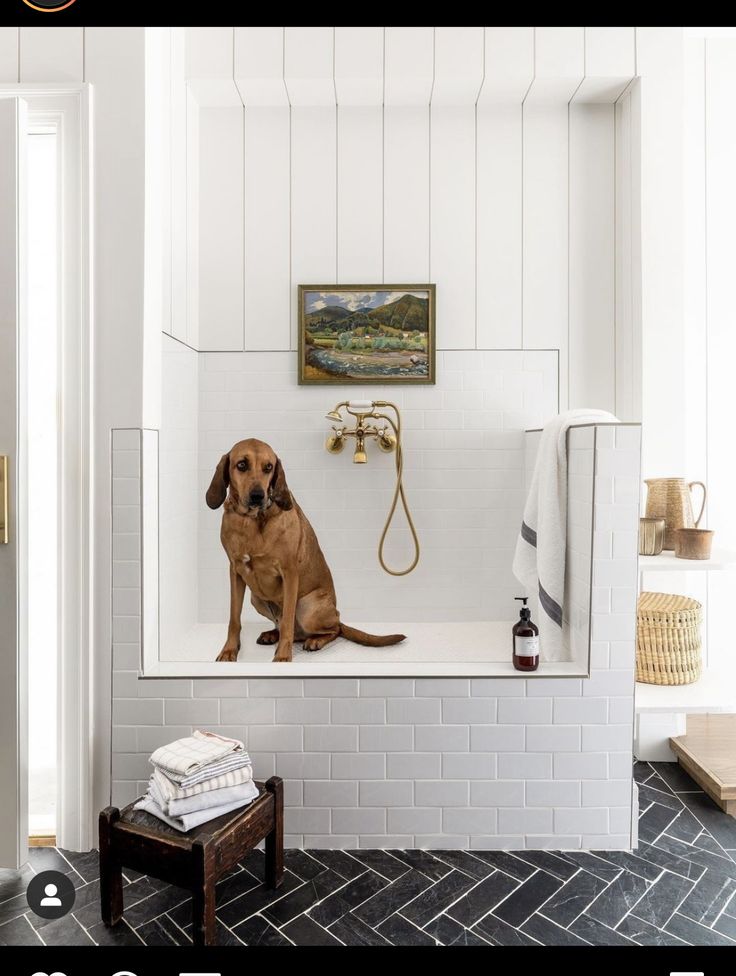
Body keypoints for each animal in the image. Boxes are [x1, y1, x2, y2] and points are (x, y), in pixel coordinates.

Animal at [204, 440, 406, 664]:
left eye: (268, 467)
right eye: (241, 465)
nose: (258, 496)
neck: (251, 520)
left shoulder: (290, 573)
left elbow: (287, 623)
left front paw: (283, 657)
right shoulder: (236, 571)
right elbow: (234, 618)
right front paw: (229, 650)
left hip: (307, 607)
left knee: (332, 630)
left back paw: (315, 640)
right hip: (256, 599)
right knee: (288, 628)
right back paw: (272, 634)